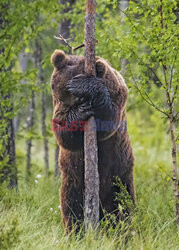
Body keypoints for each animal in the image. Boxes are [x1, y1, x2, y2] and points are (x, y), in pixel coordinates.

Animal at [50, 49, 134, 233]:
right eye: (66, 93)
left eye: (78, 95)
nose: (77, 104)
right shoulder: (58, 107)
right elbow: (65, 136)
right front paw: (79, 114)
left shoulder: (116, 93)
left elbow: (108, 120)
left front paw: (85, 85)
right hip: (73, 181)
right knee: (72, 209)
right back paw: (76, 232)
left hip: (118, 177)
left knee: (122, 208)